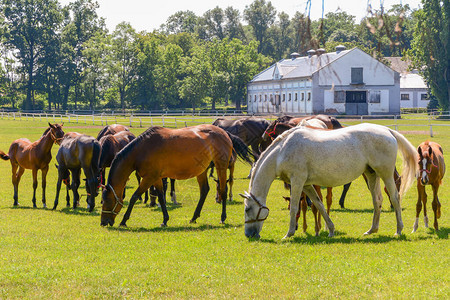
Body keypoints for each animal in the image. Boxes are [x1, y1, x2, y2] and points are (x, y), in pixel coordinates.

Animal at [100, 125, 234, 227]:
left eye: (107, 200)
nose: (103, 222)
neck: (142, 150)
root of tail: (224, 133)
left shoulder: (149, 178)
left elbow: (134, 197)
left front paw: (124, 220)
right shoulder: (156, 178)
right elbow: (160, 197)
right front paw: (165, 220)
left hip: (221, 166)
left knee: (223, 190)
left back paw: (223, 217)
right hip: (202, 171)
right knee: (204, 191)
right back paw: (194, 217)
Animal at [243, 122, 418, 239]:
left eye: (247, 209)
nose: (249, 234)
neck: (282, 151)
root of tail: (387, 130)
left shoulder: (297, 182)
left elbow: (294, 207)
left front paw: (289, 233)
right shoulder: (307, 185)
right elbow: (319, 205)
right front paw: (331, 230)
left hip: (385, 174)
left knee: (395, 198)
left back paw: (399, 229)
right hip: (371, 174)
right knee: (378, 200)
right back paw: (372, 230)